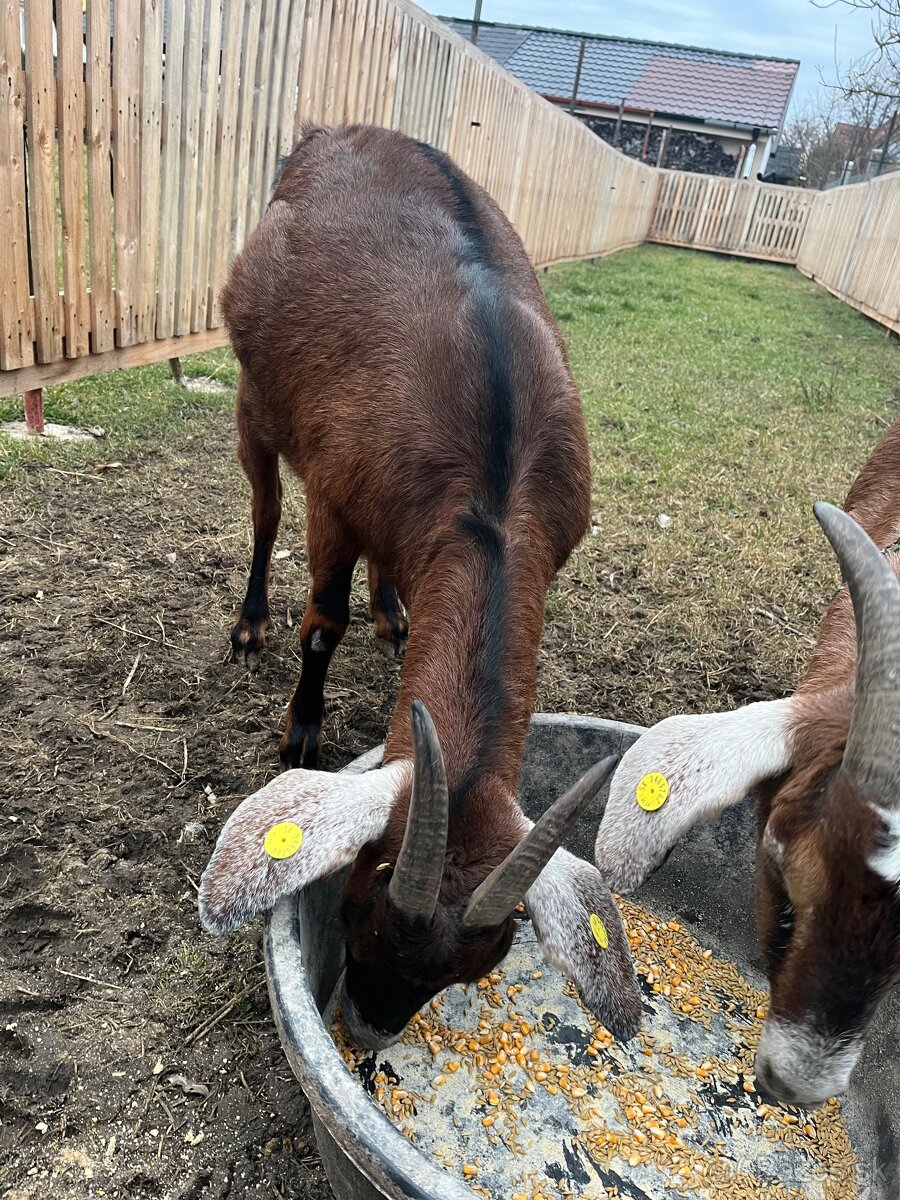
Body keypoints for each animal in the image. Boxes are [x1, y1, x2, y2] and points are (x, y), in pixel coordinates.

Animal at [196, 126, 643, 1046]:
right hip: (256, 397)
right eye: (366, 893)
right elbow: (320, 622)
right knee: (263, 512)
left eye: (478, 965)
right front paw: (300, 733)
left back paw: (394, 612)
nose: (367, 1031)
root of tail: (335, 134)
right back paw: (251, 624)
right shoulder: (334, 501)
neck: (495, 470)